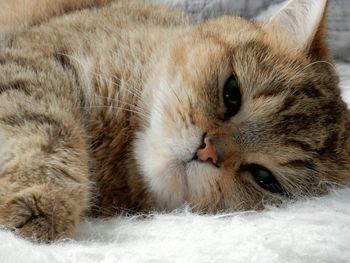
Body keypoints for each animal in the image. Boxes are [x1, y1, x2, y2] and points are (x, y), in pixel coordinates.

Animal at [0, 0, 350, 243]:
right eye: (232, 93)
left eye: (265, 178)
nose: (207, 151)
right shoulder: (30, 63)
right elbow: (46, 130)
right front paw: (44, 197)